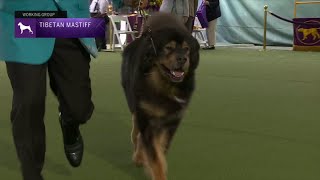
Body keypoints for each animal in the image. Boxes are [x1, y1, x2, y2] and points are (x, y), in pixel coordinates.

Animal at [120, 13, 199, 180]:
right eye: (168, 48)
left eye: (186, 49)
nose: (183, 59)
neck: (165, 86)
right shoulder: (147, 117)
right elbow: (156, 157)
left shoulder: (171, 121)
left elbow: (161, 150)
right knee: (136, 128)